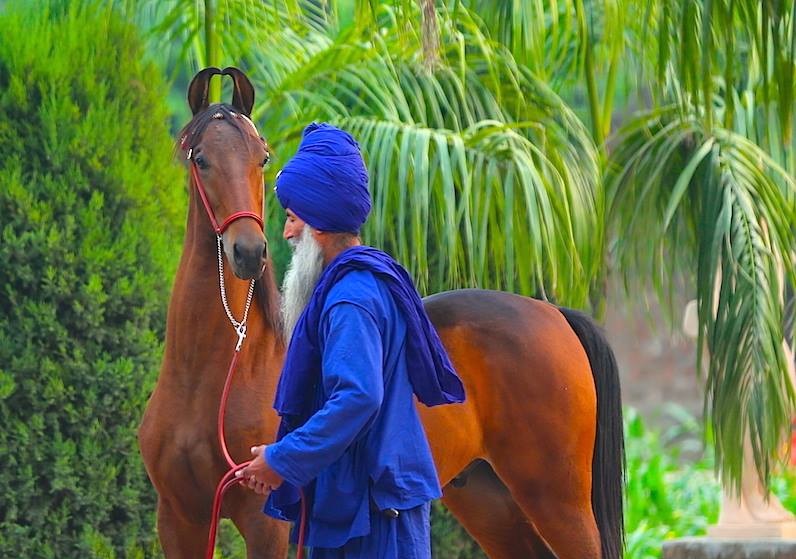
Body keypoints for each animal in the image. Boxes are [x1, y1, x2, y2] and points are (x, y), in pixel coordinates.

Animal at [139, 67, 625, 559]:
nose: (249, 252)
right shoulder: (179, 520)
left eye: (262, 158)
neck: (217, 374)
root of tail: (555, 315)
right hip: (490, 503)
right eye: (201, 159)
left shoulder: (264, 524)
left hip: (557, 501)